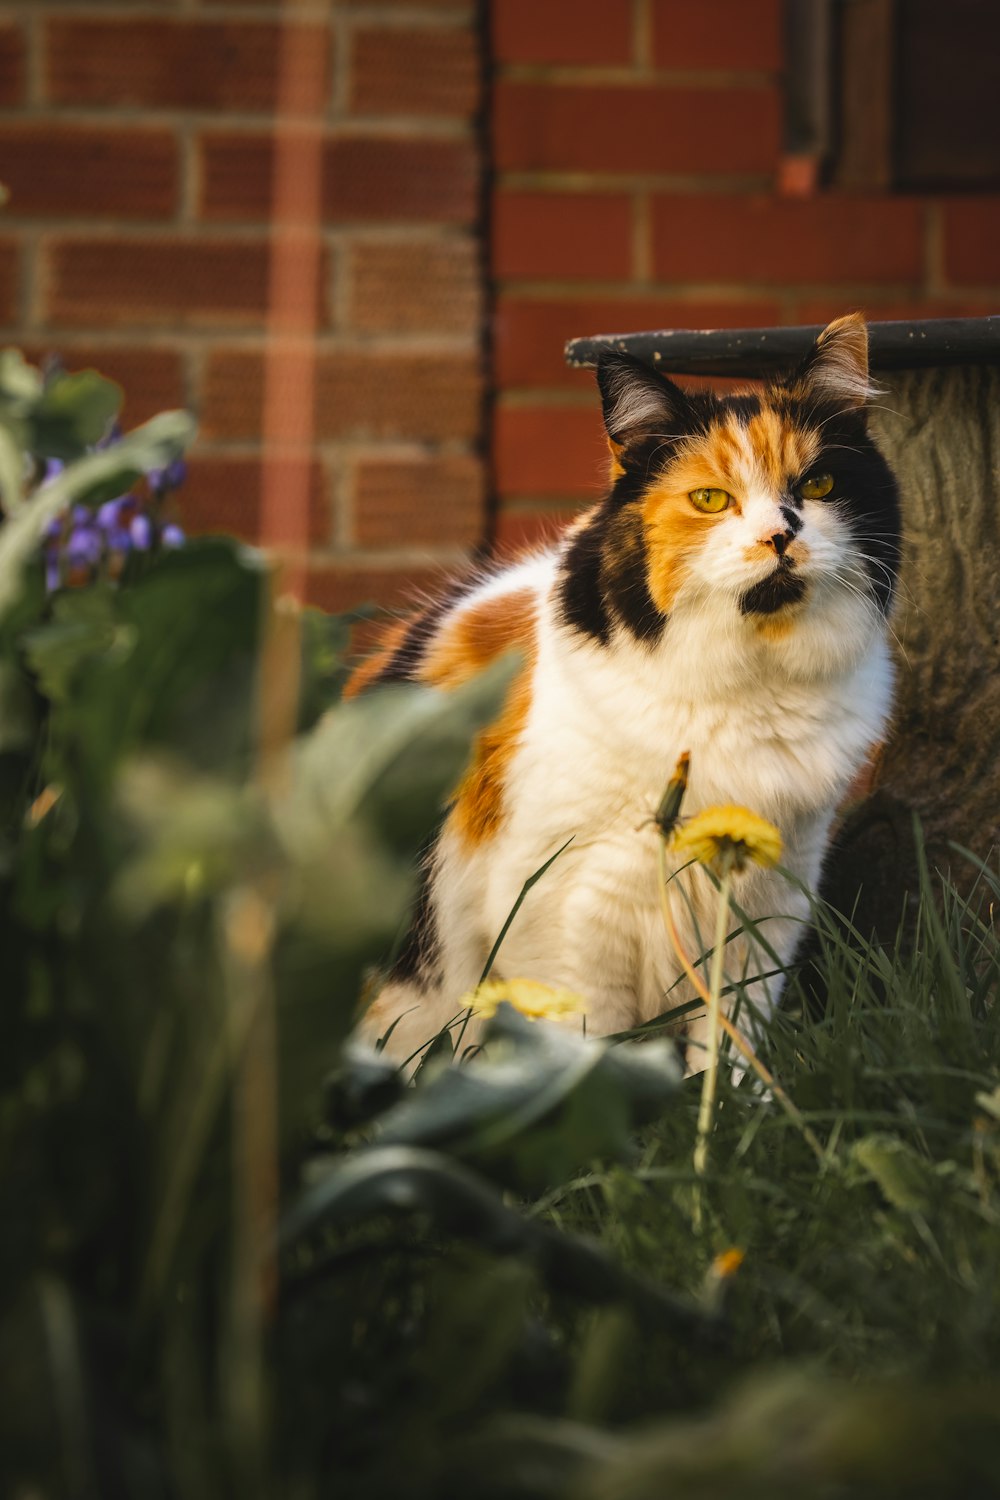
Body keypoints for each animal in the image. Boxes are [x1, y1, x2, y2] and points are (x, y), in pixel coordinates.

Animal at [347, 313, 905, 1068]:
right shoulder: (564, 908)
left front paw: (733, 1099)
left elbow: (732, 1044)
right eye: (710, 499)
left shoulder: (769, 899)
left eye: (817, 484)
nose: (780, 536)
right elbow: (591, 1043)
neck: (745, 687)